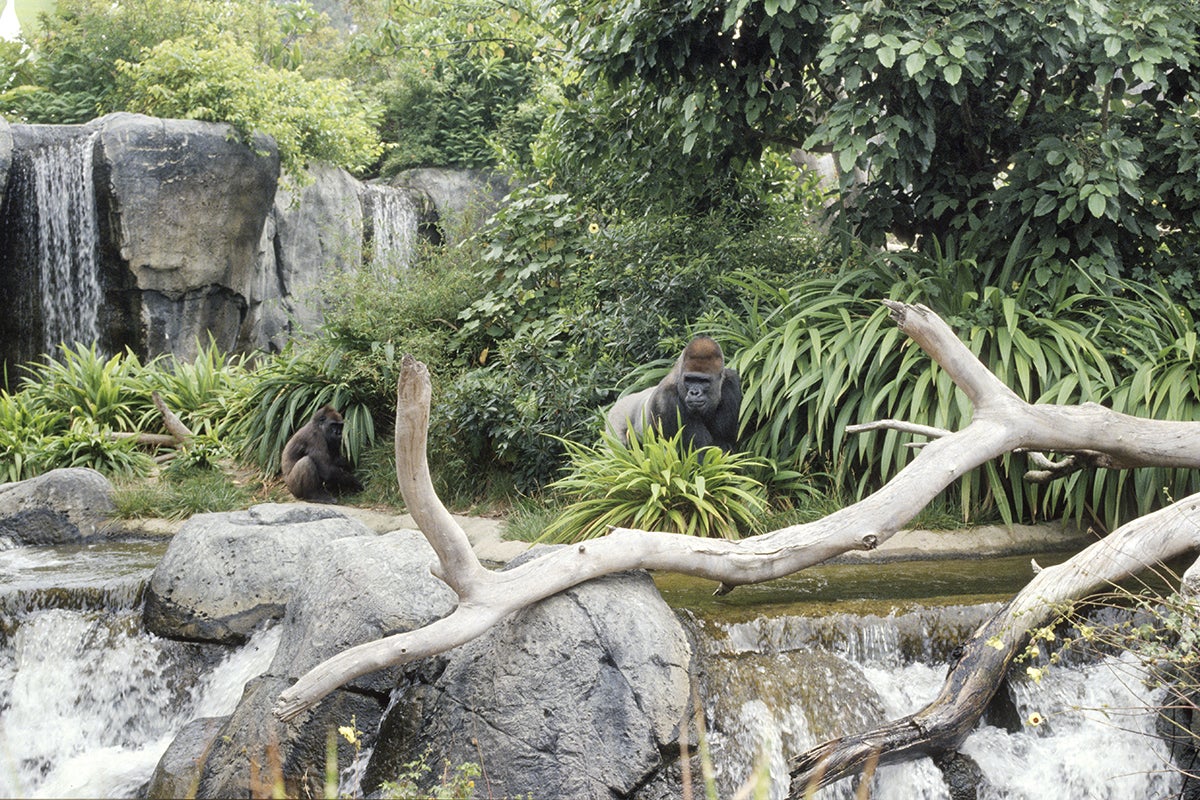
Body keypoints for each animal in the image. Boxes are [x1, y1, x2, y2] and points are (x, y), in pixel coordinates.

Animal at [607, 336, 742, 453]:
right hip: (615, 420)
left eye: (703, 381)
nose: (694, 393)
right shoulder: (668, 400)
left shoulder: (731, 385)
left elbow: (723, 442)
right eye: (689, 380)